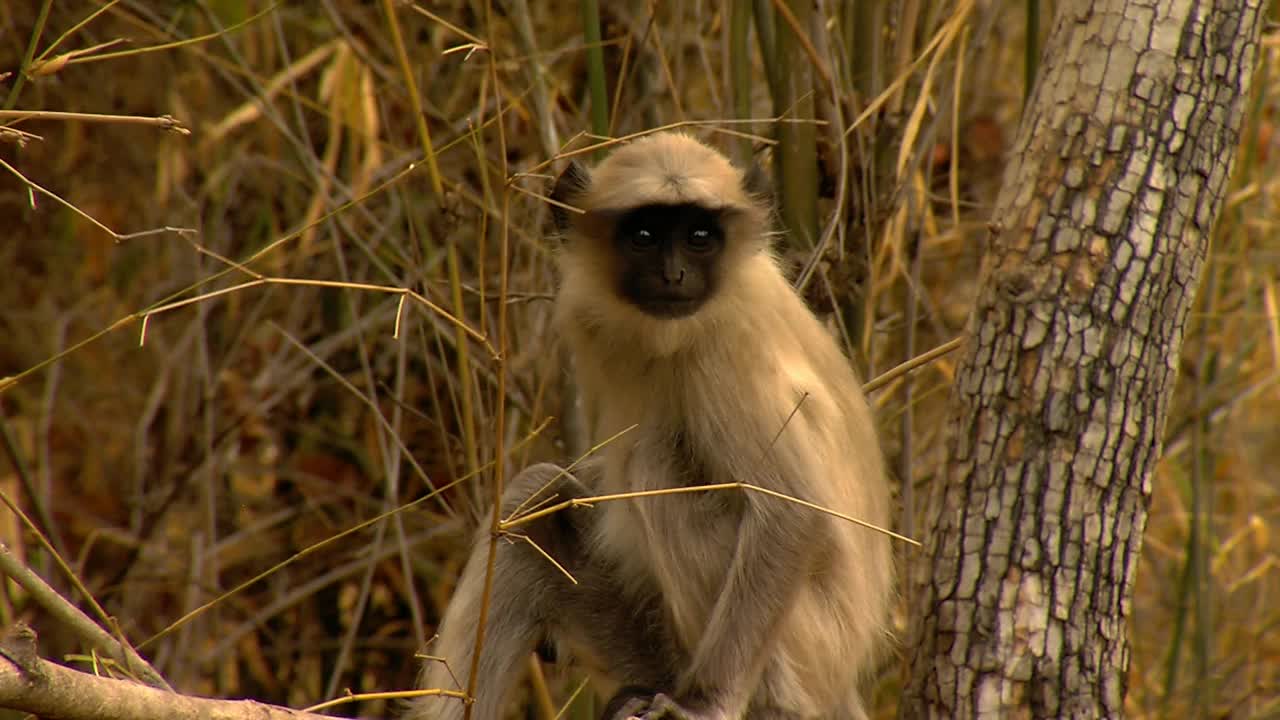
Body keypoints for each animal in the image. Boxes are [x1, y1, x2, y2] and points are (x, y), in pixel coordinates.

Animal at [404, 130, 896, 717]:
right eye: (644, 236)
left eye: (699, 237)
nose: (674, 274)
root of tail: (841, 683)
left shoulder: (725, 349)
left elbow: (792, 516)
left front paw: (705, 702)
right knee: (534, 502)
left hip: (808, 646)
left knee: (655, 465)